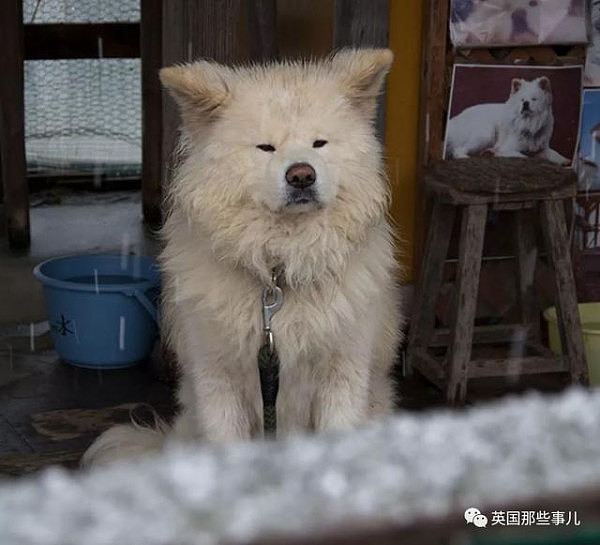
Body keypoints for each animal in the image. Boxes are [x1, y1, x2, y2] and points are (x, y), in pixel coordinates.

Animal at [83, 49, 404, 466]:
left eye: (319, 143)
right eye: (265, 147)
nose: (302, 175)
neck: (278, 272)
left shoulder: (342, 373)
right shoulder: (218, 378)